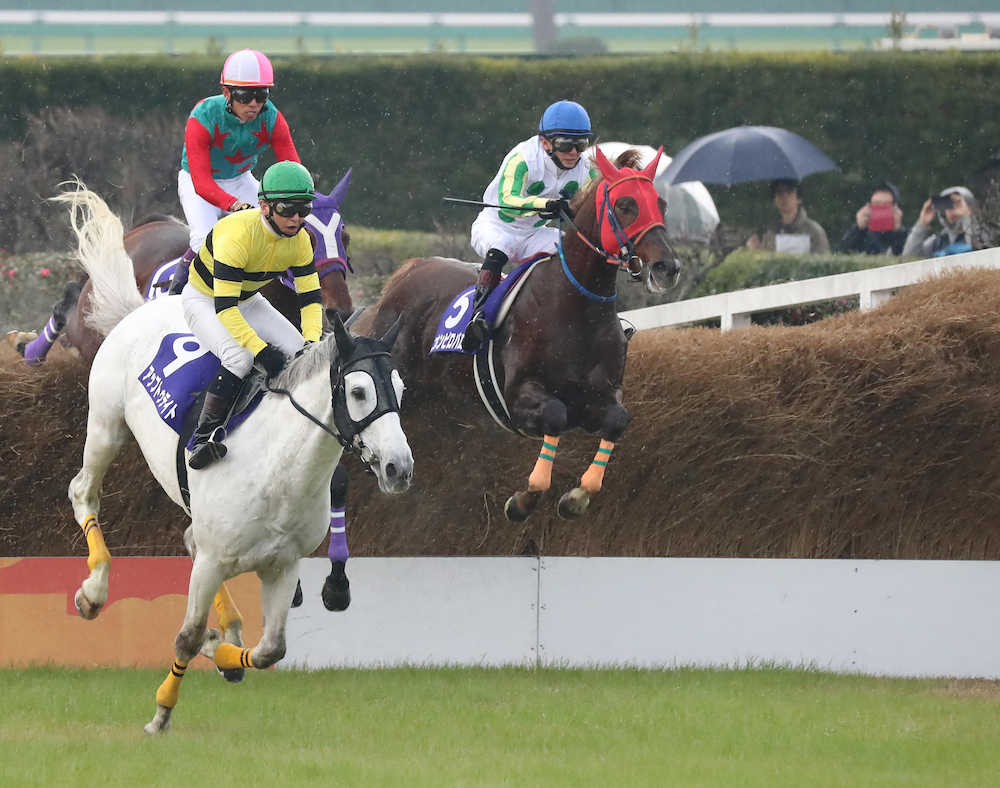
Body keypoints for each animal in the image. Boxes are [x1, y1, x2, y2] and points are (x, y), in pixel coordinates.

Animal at [55, 185, 414, 732]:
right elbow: (184, 636)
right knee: (84, 491)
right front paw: (162, 711)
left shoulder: (282, 565)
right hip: (106, 424)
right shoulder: (210, 562)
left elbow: (270, 651)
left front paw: (223, 650)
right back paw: (93, 590)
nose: (399, 467)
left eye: (399, 388)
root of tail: (142, 307)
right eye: (357, 391)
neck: (280, 473)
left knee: (188, 537)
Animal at [360, 146, 680, 524]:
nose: (667, 268)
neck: (574, 309)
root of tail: (408, 271)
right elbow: (555, 415)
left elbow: (616, 421)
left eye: (660, 204)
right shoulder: (518, 397)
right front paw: (524, 500)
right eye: (625, 205)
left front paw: (577, 497)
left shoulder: (600, 396)